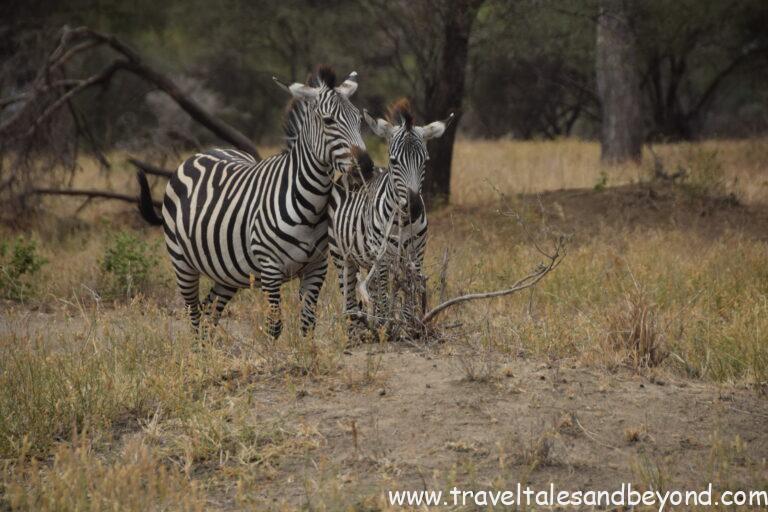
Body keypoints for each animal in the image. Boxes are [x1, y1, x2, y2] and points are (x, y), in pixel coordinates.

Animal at [136, 66, 366, 338]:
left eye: (360, 120)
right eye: (329, 121)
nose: (366, 166)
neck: (311, 204)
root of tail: (204, 152)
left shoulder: (317, 267)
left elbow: (308, 323)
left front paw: (307, 348)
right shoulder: (270, 268)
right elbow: (274, 325)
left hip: (226, 272)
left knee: (209, 311)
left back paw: (209, 348)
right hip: (181, 262)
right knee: (193, 313)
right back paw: (195, 347)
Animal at [327, 98, 452, 337]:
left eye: (425, 161)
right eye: (394, 162)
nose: (414, 207)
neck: (403, 221)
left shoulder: (416, 254)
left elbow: (410, 293)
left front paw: (409, 328)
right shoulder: (383, 254)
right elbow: (385, 297)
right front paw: (387, 330)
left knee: (373, 290)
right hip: (341, 254)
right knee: (350, 295)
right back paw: (357, 331)